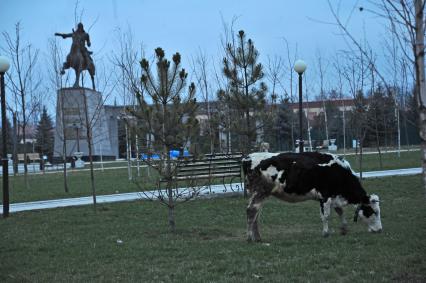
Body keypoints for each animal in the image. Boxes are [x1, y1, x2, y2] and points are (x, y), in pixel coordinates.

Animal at [243, 152, 382, 243]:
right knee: (251, 210)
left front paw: (344, 229)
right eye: (373, 211)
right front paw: (326, 233)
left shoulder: (334, 196)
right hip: (260, 192)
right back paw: (250, 237)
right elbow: (326, 216)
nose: (380, 230)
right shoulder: (325, 196)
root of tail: (248, 157)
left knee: (256, 214)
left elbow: (340, 211)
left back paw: (257, 237)